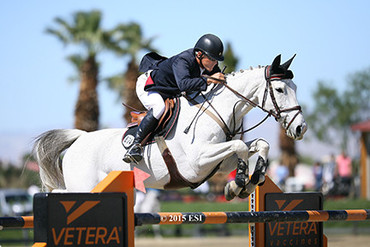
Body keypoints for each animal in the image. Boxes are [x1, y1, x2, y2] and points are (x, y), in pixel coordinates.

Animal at [34, 55, 306, 200]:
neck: (219, 110)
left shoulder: (219, 162)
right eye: (280, 89)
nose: (300, 128)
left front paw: (249, 181)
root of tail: (80, 139)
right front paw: (238, 183)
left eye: (295, 88)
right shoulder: (198, 162)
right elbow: (239, 145)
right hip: (83, 186)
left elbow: (260, 144)